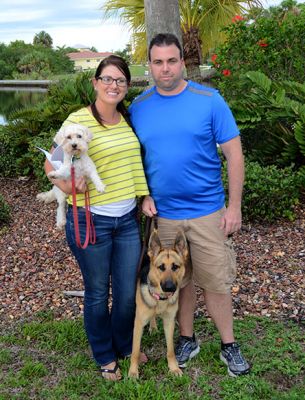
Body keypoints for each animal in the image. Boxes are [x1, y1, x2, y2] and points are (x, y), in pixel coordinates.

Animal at [127, 230, 186, 376]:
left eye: (175, 267)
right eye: (161, 267)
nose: (170, 287)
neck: (161, 299)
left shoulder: (169, 322)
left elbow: (170, 350)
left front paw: (173, 367)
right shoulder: (138, 324)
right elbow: (135, 351)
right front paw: (133, 372)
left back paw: (153, 326)